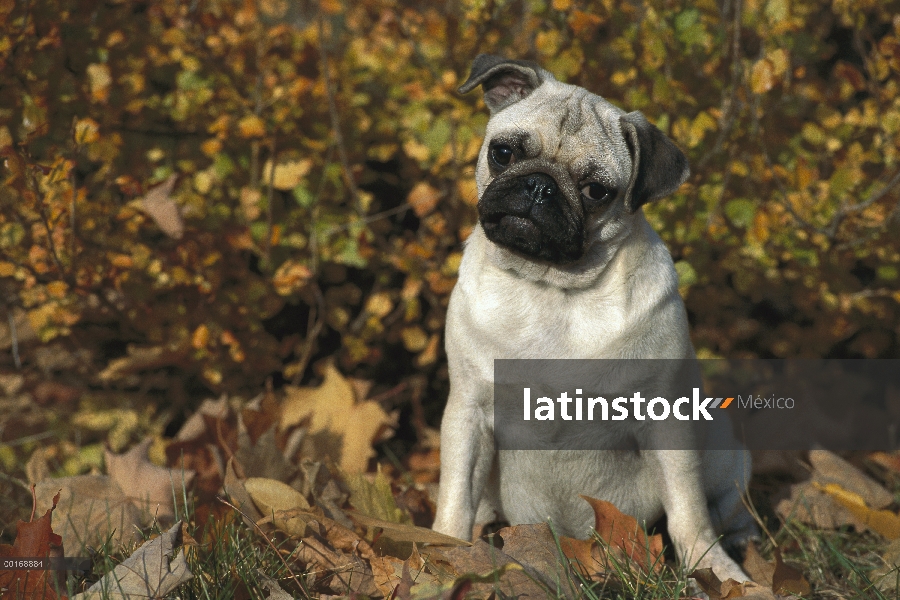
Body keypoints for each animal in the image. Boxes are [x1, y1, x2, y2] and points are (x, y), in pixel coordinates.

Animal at [432, 55, 756, 580]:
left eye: (596, 191)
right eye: (503, 153)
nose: (539, 185)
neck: (551, 289)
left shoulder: (668, 423)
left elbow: (689, 513)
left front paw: (718, 572)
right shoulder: (469, 411)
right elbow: (457, 496)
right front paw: (444, 552)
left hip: (728, 456)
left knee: (723, 505)